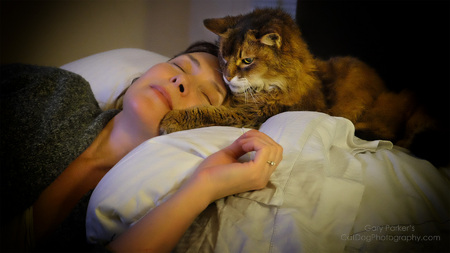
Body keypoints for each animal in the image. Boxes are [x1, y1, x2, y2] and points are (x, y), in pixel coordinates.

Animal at [161, 7, 436, 151]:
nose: (227, 77)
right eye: (223, 57)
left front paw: (171, 119)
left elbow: (209, 112)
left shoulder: (253, 114)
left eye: (247, 61)